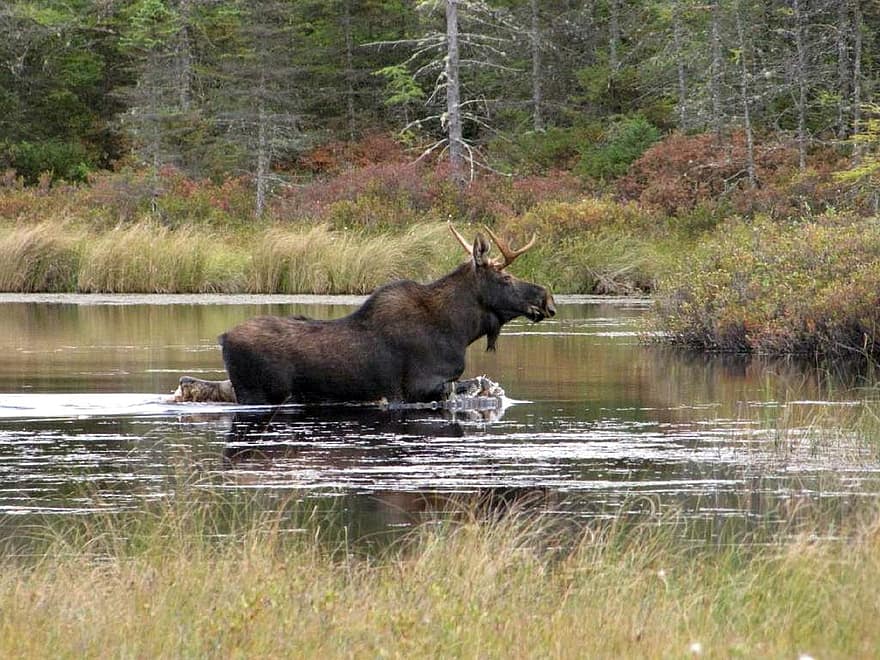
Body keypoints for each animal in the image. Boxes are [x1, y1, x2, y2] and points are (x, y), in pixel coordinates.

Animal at [217, 224, 552, 404]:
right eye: (505, 278)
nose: (546, 298)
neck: (459, 330)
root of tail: (223, 337)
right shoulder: (418, 387)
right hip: (257, 393)